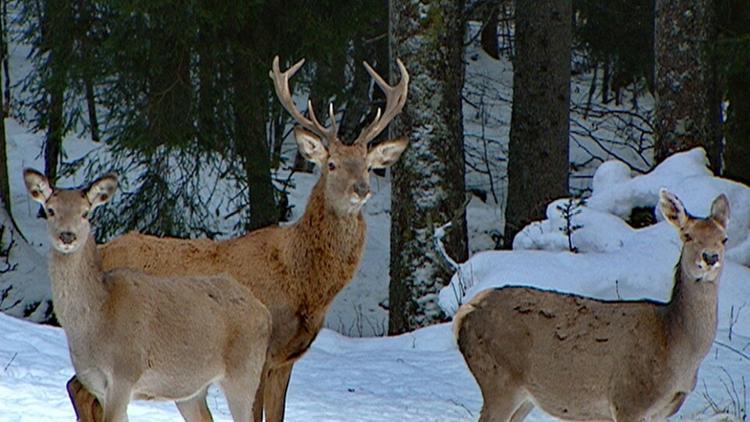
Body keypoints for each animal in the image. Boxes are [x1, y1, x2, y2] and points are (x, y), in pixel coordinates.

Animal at [25, 170, 272, 422]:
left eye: (85, 213)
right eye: (50, 210)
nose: (67, 236)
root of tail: (263, 310)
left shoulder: (125, 372)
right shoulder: (97, 385)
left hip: (244, 373)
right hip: (190, 389)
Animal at [66, 56, 412, 422]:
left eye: (368, 165)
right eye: (331, 164)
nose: (362, 189)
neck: (301, 283)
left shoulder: (284, 360)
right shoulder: (258, 354)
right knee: (79, 388)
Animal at [456, 190, 732, 422]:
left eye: (724, 239)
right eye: (687, 235)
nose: (710, 257)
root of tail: (461, 317)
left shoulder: (662, 411)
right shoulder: (628, 399)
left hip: (523, 397)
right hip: (498, 379)